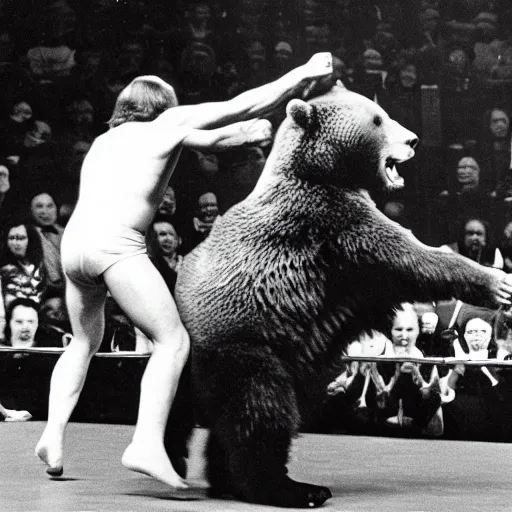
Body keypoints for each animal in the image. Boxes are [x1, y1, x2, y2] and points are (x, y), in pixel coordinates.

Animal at [174, 82, 512, 506]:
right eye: (378, 119)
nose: (413, 140)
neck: (323, 171)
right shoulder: (336, 223)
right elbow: (412, 258)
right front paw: (497, 282)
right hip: (243, 345)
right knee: (261, 409)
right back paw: (292, 487)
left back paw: (227, 480)